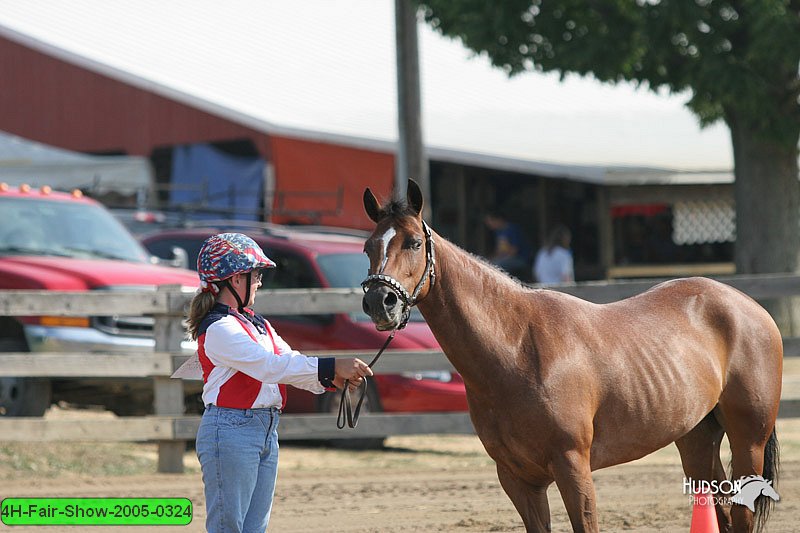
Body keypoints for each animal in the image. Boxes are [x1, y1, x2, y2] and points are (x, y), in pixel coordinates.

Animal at [360, 180, 780, 532]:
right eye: (369, 247)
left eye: (414, 243)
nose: (380, 302)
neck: (515, 352)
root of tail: (748, 306)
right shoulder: (517, 478)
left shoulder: (573, 465)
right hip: (696, 439)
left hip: (749, 441)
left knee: (742, 514)